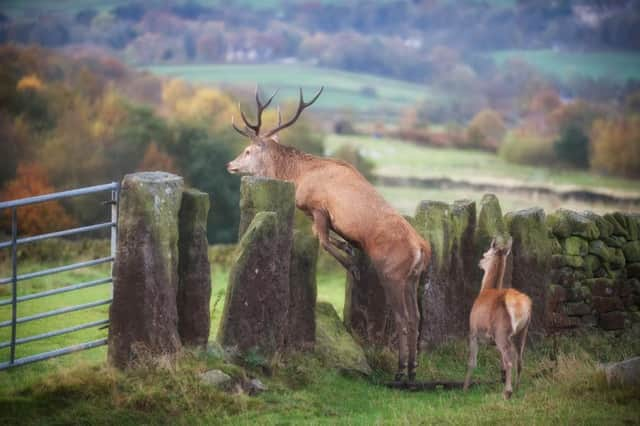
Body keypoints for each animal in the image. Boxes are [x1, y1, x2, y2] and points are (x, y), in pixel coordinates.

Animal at [225, 87, 430, 380]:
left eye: (248, 150)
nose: (230, 164)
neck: (299, 177)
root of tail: (421, 249)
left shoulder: (319, 207)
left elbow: (323, 241)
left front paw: (352, 265)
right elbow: (333, 240)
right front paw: (349, 250)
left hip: (394, 273)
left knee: (402, 318)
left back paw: (401, 371)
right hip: (414, 278)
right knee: (416, 318)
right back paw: (412, 369)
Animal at [462, 236, 532, 400]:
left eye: (485, 254)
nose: (479, 262)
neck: (485, 290)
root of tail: (521, 305)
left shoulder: (473, 331)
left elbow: (472, 362)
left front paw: (465, 389)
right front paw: (502, 378)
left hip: (502, 331)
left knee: (509, 361)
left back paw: (507, 392)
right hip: (522, 331)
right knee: (519, 359)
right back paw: (517, 388)